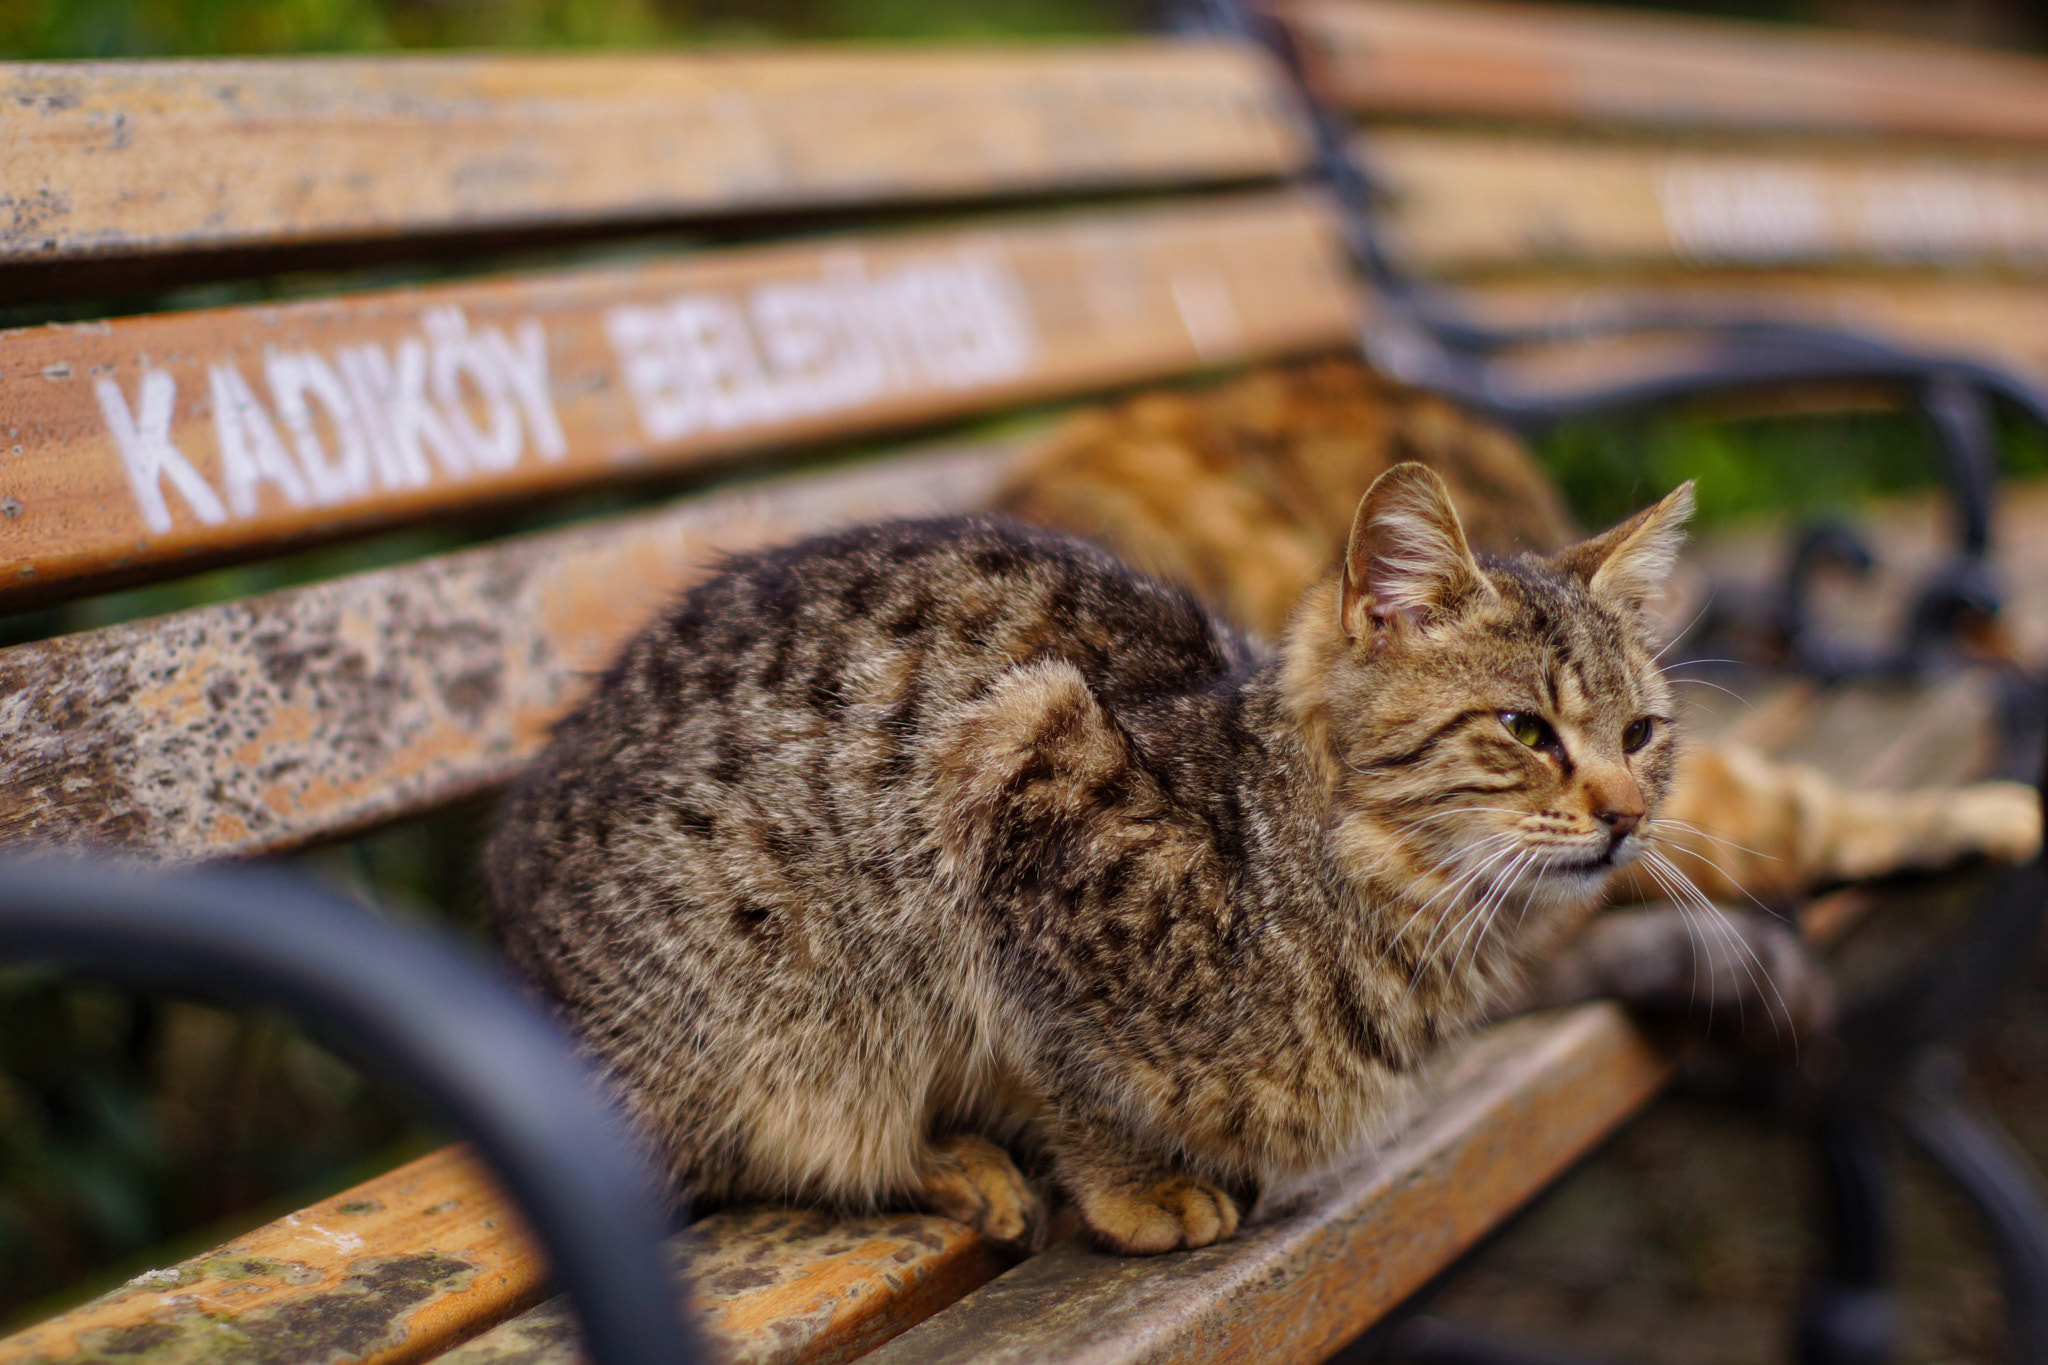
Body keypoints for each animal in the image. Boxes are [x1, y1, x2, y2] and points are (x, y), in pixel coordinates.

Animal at [483, 464, 1695, 1252]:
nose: (1628, 812)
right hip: (778, 1019)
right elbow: (1068, 1068)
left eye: (1641, 733)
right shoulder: (1014, 781)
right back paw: (946, 1160)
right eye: (1526, 730)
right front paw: (1132, 1185)